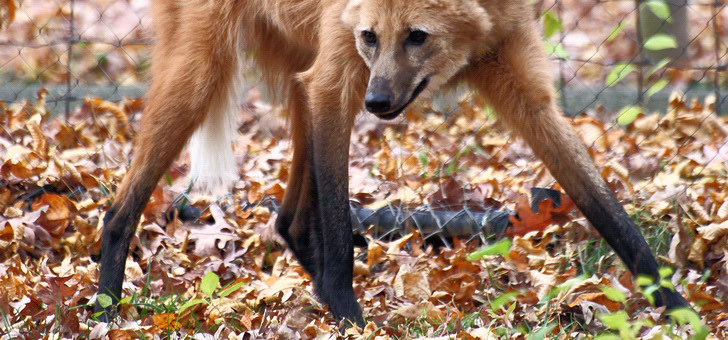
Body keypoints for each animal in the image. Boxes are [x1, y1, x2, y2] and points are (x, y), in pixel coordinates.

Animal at [96, 0, 688, 326]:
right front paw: (350, 316)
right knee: (119, 208)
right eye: (372, 36)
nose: (378, 103)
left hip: (297, 77)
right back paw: (104, 307)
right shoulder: (339, 79)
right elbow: (338, 220)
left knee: (288, 219)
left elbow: (609, 212)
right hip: (206, 71)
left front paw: (678, 307)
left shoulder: (528, 93)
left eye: (418, 36)